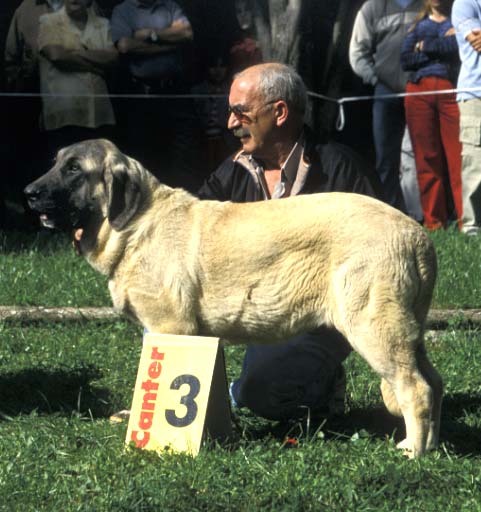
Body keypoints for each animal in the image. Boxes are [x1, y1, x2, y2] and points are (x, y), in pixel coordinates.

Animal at [24, 139, 440, 456]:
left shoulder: (170, 326)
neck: (136, 224)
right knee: (433, 382)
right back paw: (433, 446)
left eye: (74, 169)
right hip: (406, 332)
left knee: (415, 388)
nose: (29, 193)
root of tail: (416, 235)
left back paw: (413, 451)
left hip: (374, 326)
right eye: (56, 163)